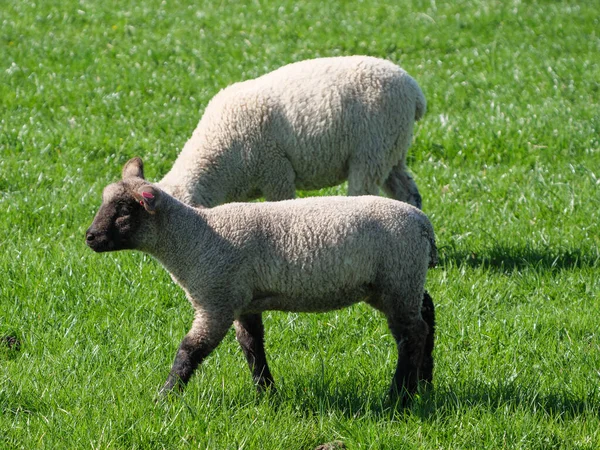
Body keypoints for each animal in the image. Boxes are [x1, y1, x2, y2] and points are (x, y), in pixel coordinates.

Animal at [85, 159, 436, 404]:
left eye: (124, 210)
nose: (89, 237)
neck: (194, 239)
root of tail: (423, 223)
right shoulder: (243, 301)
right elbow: (252, 345)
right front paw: (266, 394)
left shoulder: (216, 301)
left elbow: (190, 350)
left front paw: (165, 397)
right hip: (394, 283)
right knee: (427, 312)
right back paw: (425, 382)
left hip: (398, 277)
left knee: (411, 334)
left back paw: (400, 396)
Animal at [157, 55, 424, 209]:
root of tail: (414, 90)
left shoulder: (276, 171)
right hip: (392, 149)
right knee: (409, 192)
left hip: (370, 152)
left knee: (364, 192)